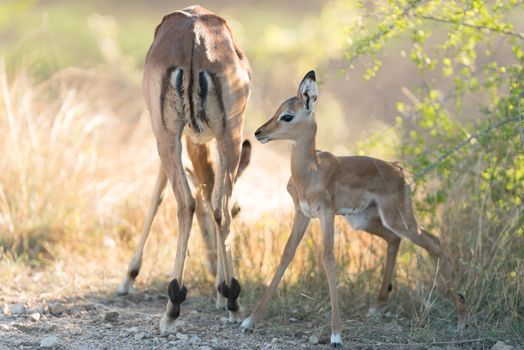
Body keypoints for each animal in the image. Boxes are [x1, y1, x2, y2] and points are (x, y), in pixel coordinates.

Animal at [124, 6, 253, 334]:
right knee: (219, 203)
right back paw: (233, 299)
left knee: (187, 202)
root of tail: (195, 38)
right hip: (229, 135)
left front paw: (128, 276)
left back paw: (173, 308)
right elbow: (212, 194)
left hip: (167, 135)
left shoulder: (179, 138)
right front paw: (221, 289)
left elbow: (157, 195)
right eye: (242, 211)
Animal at [242, 70, 466, 348]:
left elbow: (328, 259)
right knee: (394, 240)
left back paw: (461, 317)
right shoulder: (302, 214)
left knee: (434, 242)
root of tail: (399, 170)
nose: (259, 132)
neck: (310, 172)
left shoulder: (326, 214)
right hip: (364, 220)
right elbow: (286, 255)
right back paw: (378, 305)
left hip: (397, 218)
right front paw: (250, 321)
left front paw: (336, 334)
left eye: (287, 116)